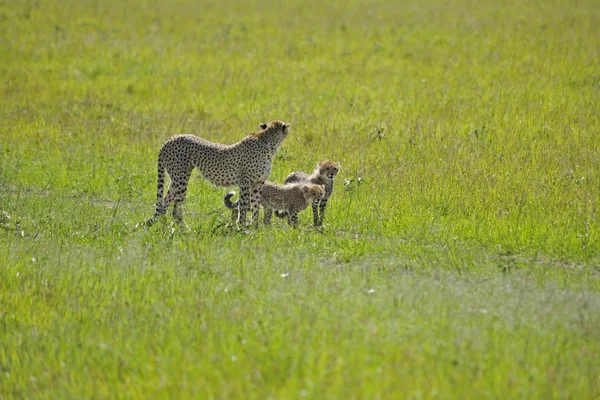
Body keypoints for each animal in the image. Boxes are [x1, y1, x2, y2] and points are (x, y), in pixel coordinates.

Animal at [149, 119, 292, 227]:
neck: (268, 144)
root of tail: (169, 139)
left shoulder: (257, 184)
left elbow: (256, 206)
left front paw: (255, 227)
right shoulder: (244, 182)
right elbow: (244, 205)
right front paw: (242, 227)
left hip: (175, 179)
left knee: (163, 203)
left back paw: (162, 226)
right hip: (181, 178)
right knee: (176, 206)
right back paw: (184, 229)